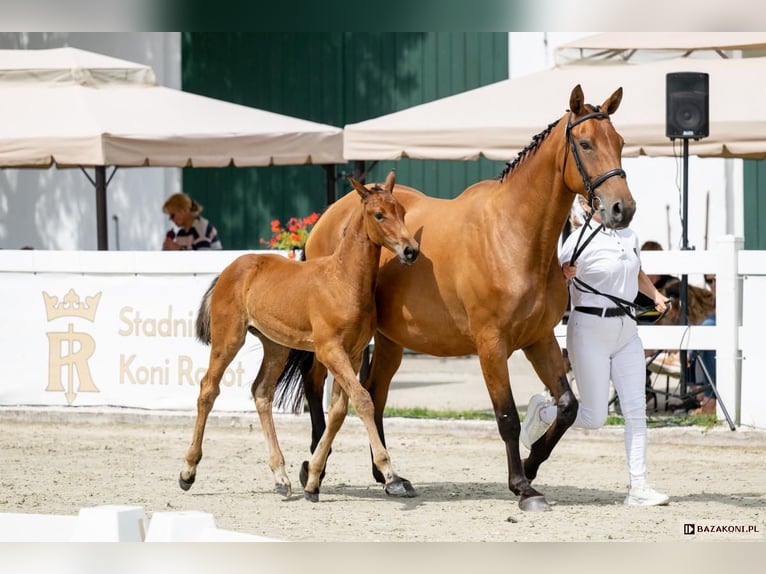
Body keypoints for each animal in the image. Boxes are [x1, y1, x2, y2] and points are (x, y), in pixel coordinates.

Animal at [179, 169, 420, 501]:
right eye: (379, 214)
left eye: (403, 212)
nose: (411, 251)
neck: (343, 281)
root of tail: (230, 269)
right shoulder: (330, 350)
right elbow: (363, 400)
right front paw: (391, 475)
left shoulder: (354, 353)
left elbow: (338, 411)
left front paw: (313, 479)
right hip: (229, 338)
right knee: (207, 389)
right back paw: (188, 471)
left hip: (276, 346)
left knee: (261, 392)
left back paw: (281, 477)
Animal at [273, 84, 636, 512]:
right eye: (585, 143)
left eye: (620, 142)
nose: (623, 209)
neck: (513, 235)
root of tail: (332, 214)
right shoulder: (491, 345)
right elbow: (507, 417)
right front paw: (522, 487)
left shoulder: (539, 339)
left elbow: (567, 406)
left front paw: (531, 465)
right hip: (335, 338)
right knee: (318, 386)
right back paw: (315, 466)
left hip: (389, 340)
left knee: (374, 395)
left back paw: (389, 477)